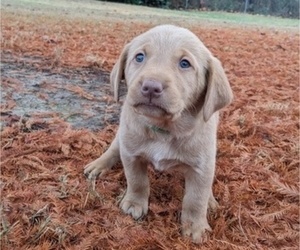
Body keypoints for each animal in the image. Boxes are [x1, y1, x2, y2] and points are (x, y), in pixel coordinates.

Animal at [83, 24, 233, 243]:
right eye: (139, 57)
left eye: (185, 63)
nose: (151, 87)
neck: (164, 130)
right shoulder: (131, 154)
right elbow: (137, 181)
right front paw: (134, 204)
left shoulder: (202, 166)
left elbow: (196, 198)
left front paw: (195, 226)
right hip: (122, 136)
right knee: (114, 149)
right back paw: (98, 165)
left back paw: (211, 200)